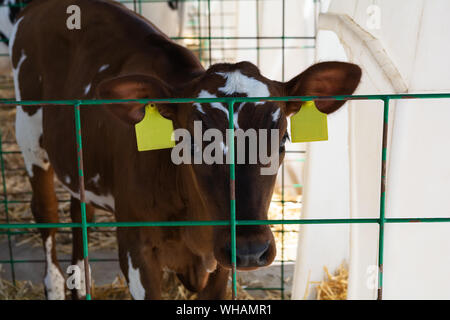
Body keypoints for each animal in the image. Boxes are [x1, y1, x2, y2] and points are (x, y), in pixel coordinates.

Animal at [10, 0, 360, 300]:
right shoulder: (136, 250)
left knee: (79, 208)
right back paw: (55, 285)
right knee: (46, 213)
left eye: (283, 140)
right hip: (28, 134)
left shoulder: (220, 258)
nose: (250, 249)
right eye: (189, 143)